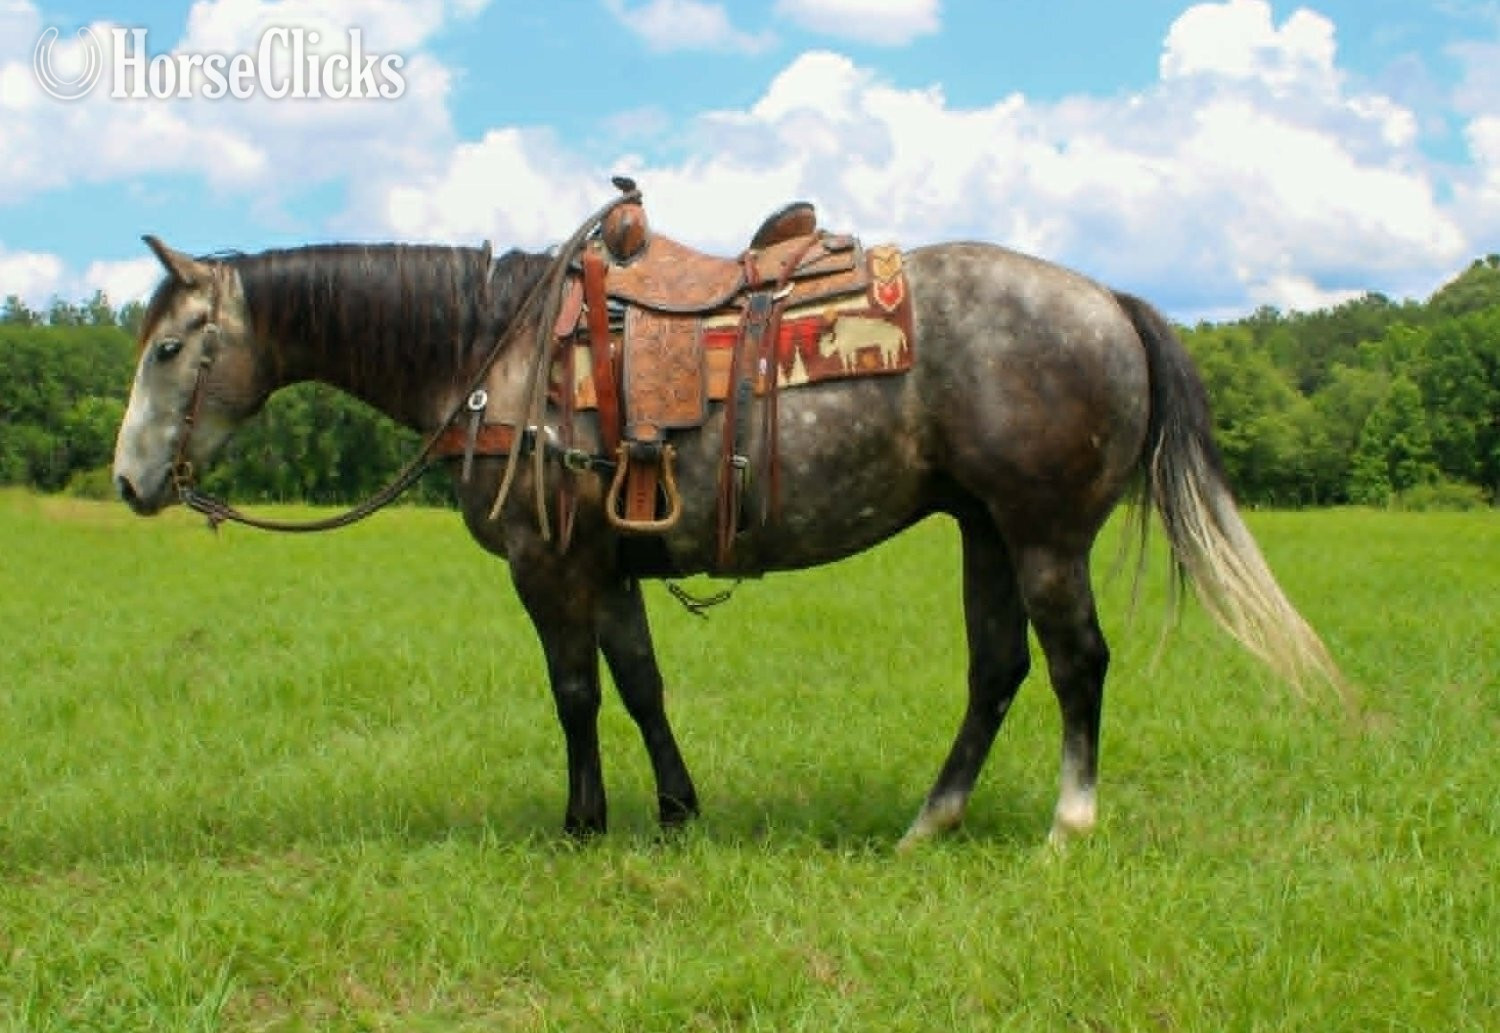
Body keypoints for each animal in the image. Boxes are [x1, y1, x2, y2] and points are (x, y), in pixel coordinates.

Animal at [111, 209, 1340, 847]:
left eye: (170, 348)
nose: (127, 482)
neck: (492, 353)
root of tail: (1110, 302)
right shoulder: (609, 566)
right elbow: (641, 684)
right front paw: (675, 809)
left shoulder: (548, 567)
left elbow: (574, 692)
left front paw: (584, 823)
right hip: (984, 530)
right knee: (997, 670)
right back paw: (929, 822)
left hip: (1043, 536)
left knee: (1077, 661)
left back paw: (1069, 821)